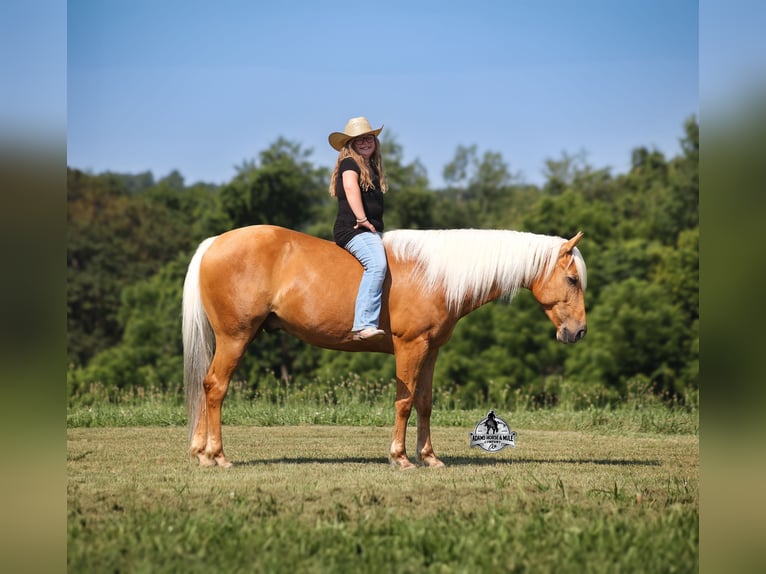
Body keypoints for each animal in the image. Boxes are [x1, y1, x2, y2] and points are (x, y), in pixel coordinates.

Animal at [182, 225, 587, 469]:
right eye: (572, 278)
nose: (579, 332)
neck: (436, 274)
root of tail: (213, 244)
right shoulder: (410, 347)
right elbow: (404, 402)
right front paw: (400, 457)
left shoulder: (431, 350)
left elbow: (425, 402)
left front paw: (429, 457)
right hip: (235, 338)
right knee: (215, 387)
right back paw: (217, 456)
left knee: (205, 386)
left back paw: (200, 453)